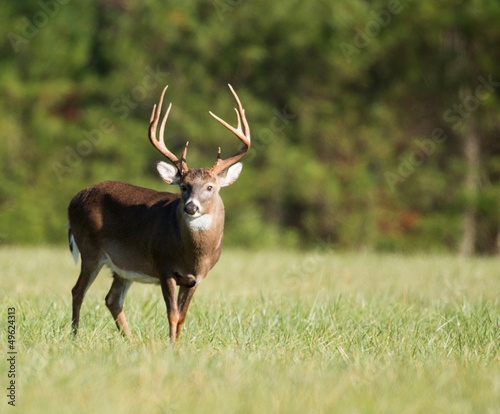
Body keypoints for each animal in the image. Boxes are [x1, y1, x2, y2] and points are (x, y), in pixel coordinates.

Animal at [67, 83, 250, 340]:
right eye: (184, 186)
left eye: (210, 187)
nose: (191, 206)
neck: (194, 255)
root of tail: (75, 199)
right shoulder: (164, 267)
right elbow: (172, 315)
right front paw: (171, 346)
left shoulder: (196, 279)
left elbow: (182, 317)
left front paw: (178, 344)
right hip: (90, 250)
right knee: (78, 291)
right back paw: (74, 336)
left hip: (123, 266)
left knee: (112, 299)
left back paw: (131, 341)